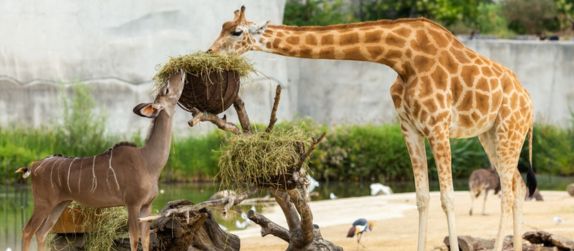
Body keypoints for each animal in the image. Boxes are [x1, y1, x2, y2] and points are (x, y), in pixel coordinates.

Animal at [16, 70, 187, 251]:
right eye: (167, 89)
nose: (180, 72)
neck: (148, 161)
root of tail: (34, 166)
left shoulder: (146, 206)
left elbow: (146, 240)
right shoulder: (133, 203)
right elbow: (134, 240)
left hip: (59, 204)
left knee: (41, 233)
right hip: (43, 203)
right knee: (27, 231)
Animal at [208, 5, 540, 251]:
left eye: (236, 31)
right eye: (221, 26)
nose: (210, 52)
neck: (402, 58)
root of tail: (529, 101)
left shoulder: (438, 125)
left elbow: (447, 199)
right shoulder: (409, 127)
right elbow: (422, 198)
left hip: (509, 128)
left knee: (508, 191)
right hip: (489, 134)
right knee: (517, 185)